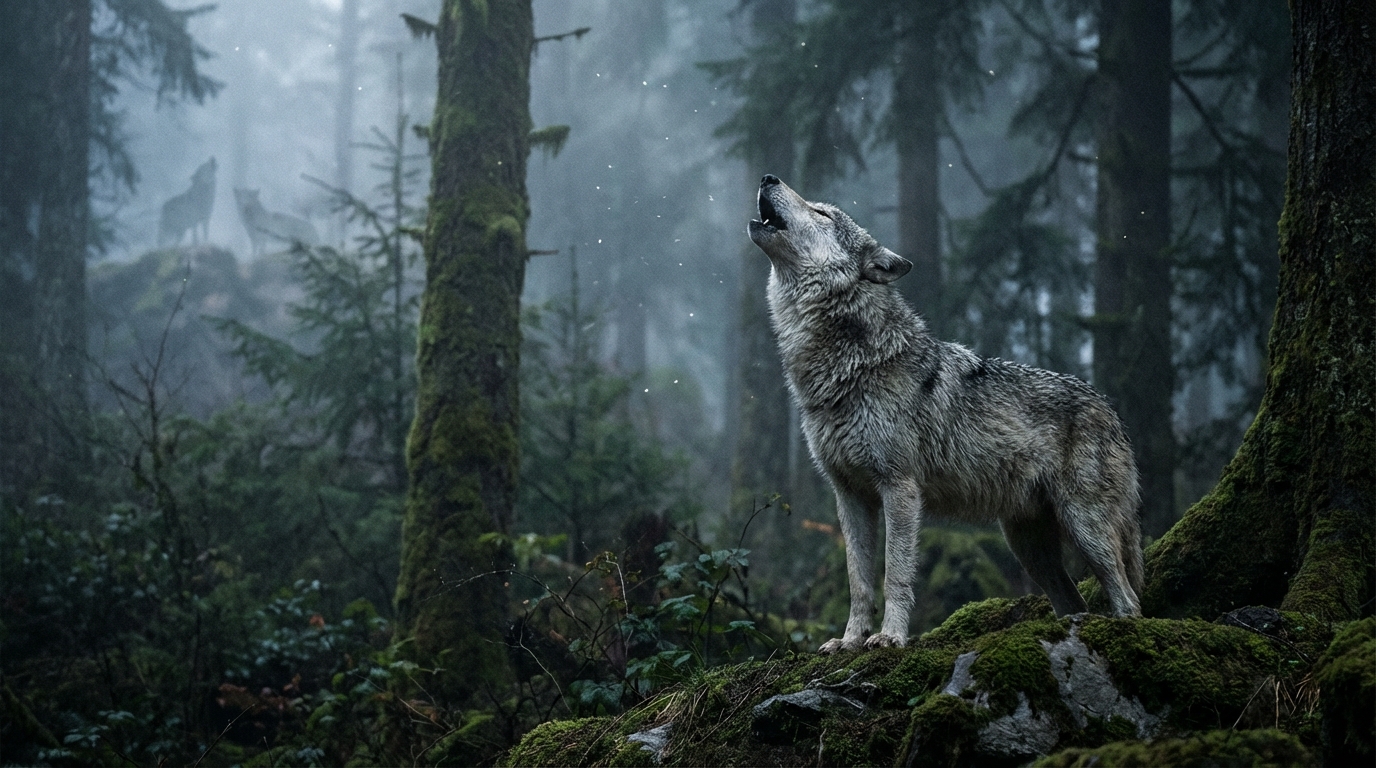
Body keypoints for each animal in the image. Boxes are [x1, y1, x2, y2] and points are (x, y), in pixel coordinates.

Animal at [747, 175, 1143, 653]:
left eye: (822, 212)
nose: (768, 177)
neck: (850, 366)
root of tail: (1112, 410)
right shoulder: (849, 496)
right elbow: (858, 581)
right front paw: (848, 641)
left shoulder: (899, 488)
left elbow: (895, 575)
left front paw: (890, 637)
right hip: (1028, 547)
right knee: (1073, 600)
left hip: (1084, 526)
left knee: (1127, 597)